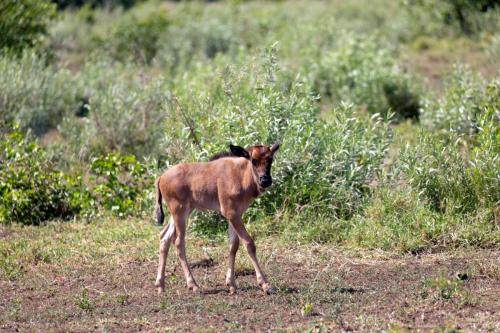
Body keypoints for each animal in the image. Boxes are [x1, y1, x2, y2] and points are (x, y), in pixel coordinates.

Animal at [155, 142, 280, 294]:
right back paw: (193, 284)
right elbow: (249, 243)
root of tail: (161, 178)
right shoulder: (231, 213)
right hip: (180, 212)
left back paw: (160, 285)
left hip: (181, 213)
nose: (265, 180)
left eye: (270, 159)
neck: (241, 175)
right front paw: (265, 284)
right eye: (253, 160)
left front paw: (231, 284)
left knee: (164, 237)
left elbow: (233, 245)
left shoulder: (235, 214)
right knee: (178, 242)